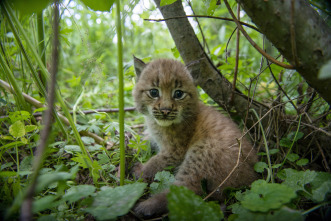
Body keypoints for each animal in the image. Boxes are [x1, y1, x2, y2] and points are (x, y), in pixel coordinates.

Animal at [132, 56, 260, 216]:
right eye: (154, 92)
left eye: (178, 94)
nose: (166, 110)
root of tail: (253, 177)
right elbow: (146, 140)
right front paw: (133, 147)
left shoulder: (174, 151)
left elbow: (154, 162)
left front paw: (141, 171)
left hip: (203, 151)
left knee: (188, 189)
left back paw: (146, 206)